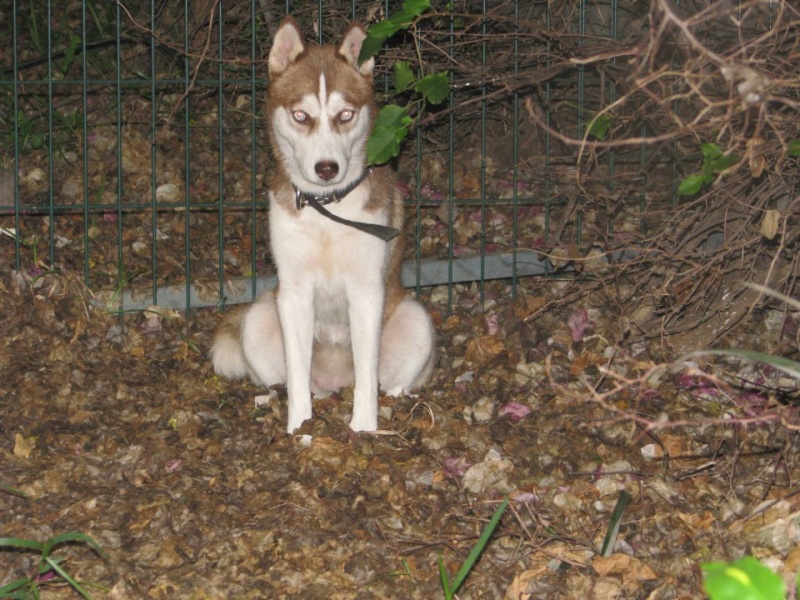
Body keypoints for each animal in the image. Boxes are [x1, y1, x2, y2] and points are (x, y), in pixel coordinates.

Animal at [211, 17, 438, 432]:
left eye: (345, 115)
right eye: (301, 115)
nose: (327, 168)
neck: (327, 211)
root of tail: (335, 382)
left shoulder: (366, 290)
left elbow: (367, 376)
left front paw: (363, 428)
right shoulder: (294, 292)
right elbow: (298, 374)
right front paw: (299, 427)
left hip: (415, 320)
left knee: (388, 382)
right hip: (259, 316)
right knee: (284, 378)